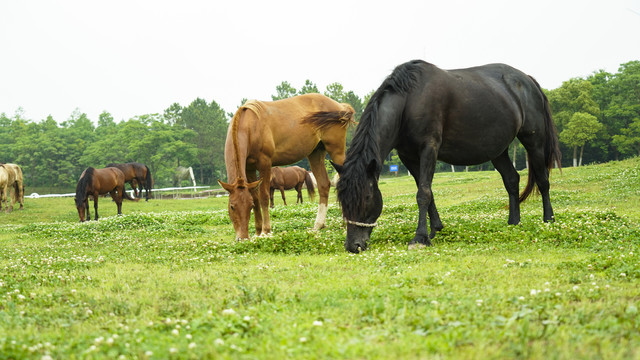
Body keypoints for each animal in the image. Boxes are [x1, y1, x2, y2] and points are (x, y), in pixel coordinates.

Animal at [218, 93, 352, 239]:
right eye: (232, 206)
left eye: (248, 206)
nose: (242, 238)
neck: (250, 125)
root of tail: (340, 106)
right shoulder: (249, 168)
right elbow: (256, 197)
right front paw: (258, 232)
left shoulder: (265, 164)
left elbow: (264, 196)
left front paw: (265, 230)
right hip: (316, 154)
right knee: (323, 185)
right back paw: (318, 225)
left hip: (336, 151)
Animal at [332, 60, 564, 253]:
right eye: (342, 200)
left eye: (367, 197)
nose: (354, 245)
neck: (409, 101)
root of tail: (527, 80)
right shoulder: (408, 157)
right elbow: (427, 192)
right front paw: (435, 229)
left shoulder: (429, 148)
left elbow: (423, 193)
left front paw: (420, 238)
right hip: (498, 151)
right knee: (512, 180)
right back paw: (513, 222)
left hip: (534, 141)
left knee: (543, 180)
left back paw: (549, 219)